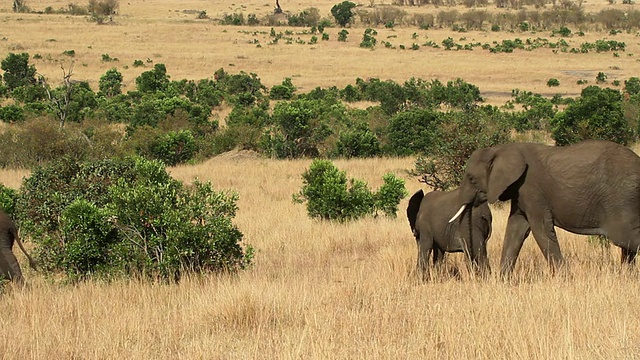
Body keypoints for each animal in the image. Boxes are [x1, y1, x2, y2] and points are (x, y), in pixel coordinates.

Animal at [448, 140, 640, 276]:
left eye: (471, 178)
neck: (500, 149)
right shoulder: (520, 192)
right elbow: (516, 229)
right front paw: (503, 281)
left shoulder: (532, 190)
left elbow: (540, 230)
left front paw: (565, 278)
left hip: (621, 198)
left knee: (624, 237)